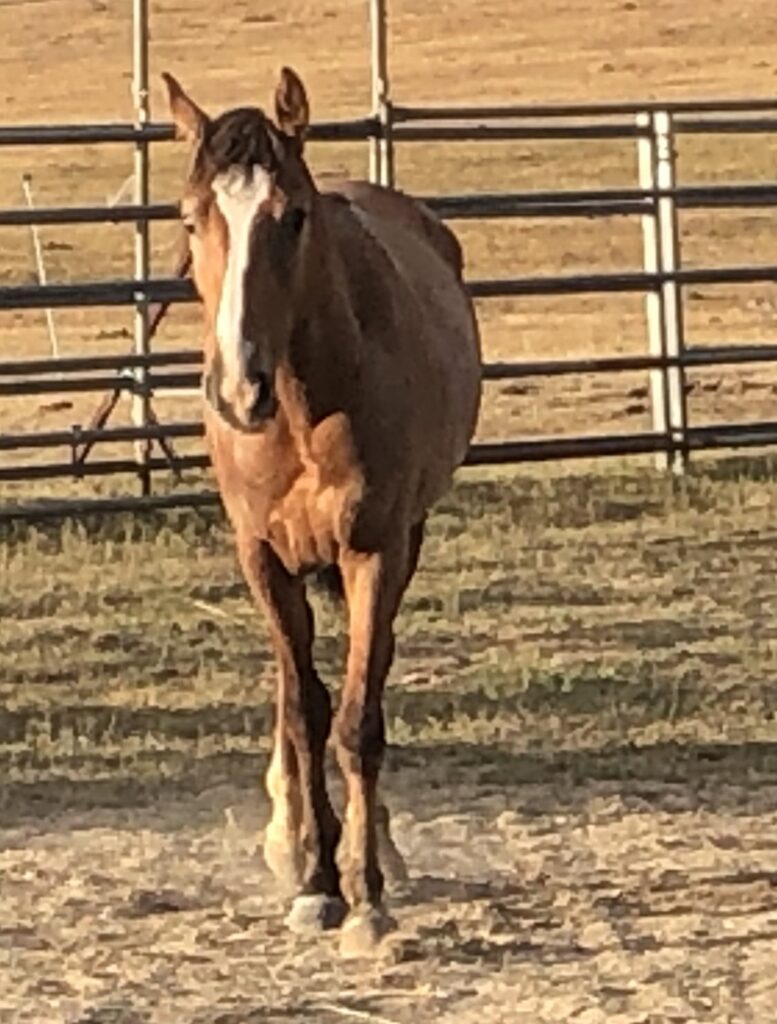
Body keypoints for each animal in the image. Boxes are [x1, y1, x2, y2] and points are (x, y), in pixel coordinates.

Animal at [163, 66, 482, 956]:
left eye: (292, 215)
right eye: (191, 217)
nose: (240, 389)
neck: (304, 409)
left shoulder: (373, 550)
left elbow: (355, 720)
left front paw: (365, 894)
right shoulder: (261, 556)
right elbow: (304, 713)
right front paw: (313, 881)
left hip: (401, 545)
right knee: (290, 689)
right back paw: (290, 838)